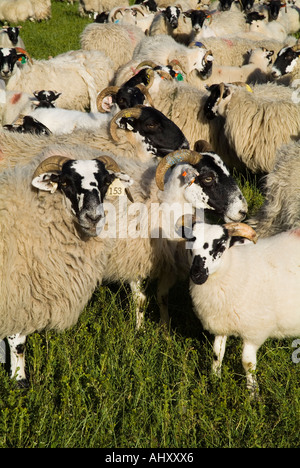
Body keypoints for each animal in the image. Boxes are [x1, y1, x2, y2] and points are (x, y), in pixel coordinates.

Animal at [0, 144, 134, 386]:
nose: (93, 217)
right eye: (65, 183)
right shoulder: (15, 290)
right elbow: (18, 342)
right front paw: (19, 381)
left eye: (106, 181)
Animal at [179, 218, 300, 396]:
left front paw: (253, 394)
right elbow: (217, 354)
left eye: (221, 246)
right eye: (190, 242)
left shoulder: (254, 331)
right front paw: (215, 380)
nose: (197, 274)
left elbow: (247, 363)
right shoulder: (222, 324)